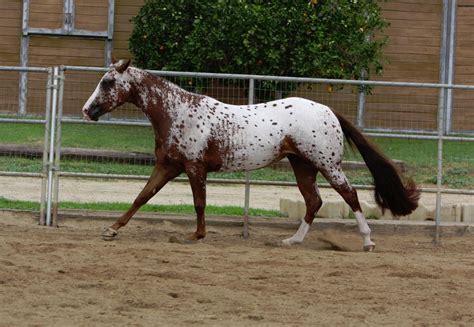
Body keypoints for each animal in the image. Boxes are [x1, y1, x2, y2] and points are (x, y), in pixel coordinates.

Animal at [81, 60, 418, 252]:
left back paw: (367, 241)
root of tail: (328, 111)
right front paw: (110, 230)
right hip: (303, 166)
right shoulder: (168, 166)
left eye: (108, 82)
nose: (87, 110)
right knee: (314, 202)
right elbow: (142, 196)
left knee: (350, 195)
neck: (177, 112)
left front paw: (196, 236)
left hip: (327, 164)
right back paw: (292, 241)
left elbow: (199, 203)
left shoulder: (194, 167)